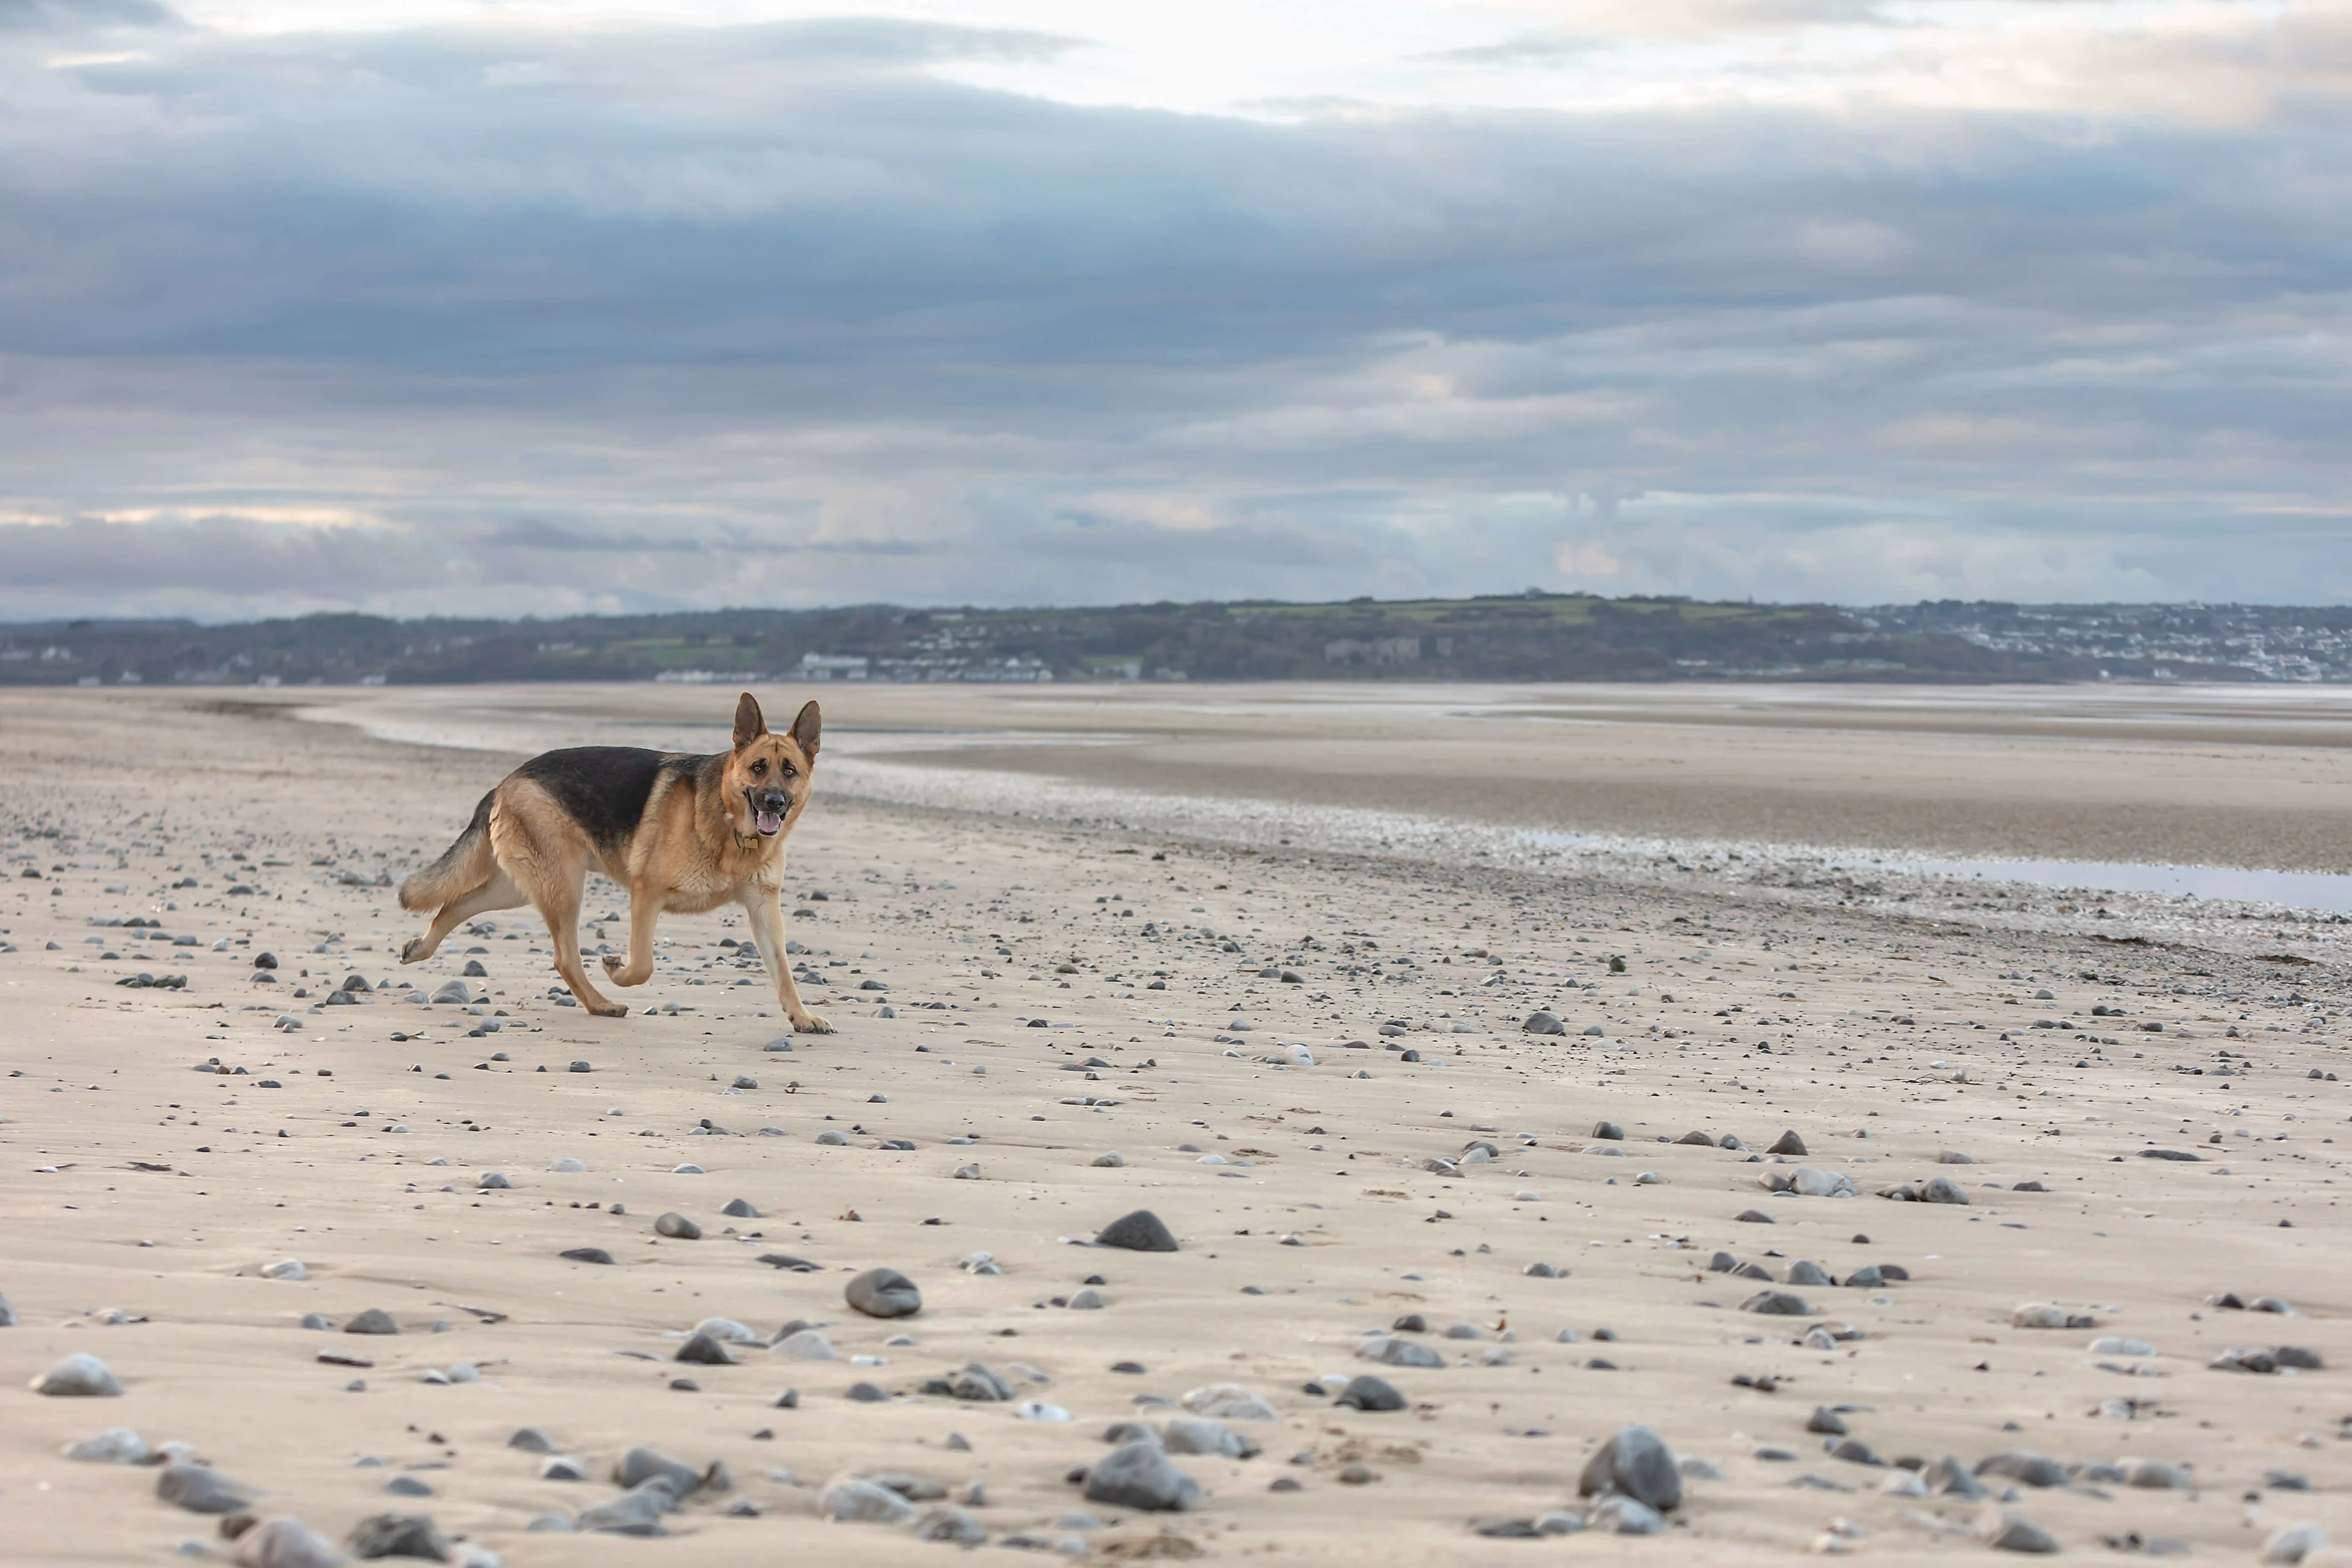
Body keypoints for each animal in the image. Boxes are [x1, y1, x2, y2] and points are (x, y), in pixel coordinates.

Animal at [388, 691, 827, 1030]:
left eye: (790, 771)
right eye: (758, 768)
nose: (774, 802)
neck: (732, 827)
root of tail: (506, 781)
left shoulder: (763, 907)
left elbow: (783, 970)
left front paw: (802, 1016)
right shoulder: (646, 894)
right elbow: (643, 965)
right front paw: (617, 969)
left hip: (517, 888)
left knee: (456, 904)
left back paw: (420, 948)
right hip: (563, 887)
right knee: (565, 957)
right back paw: (601, 1003)